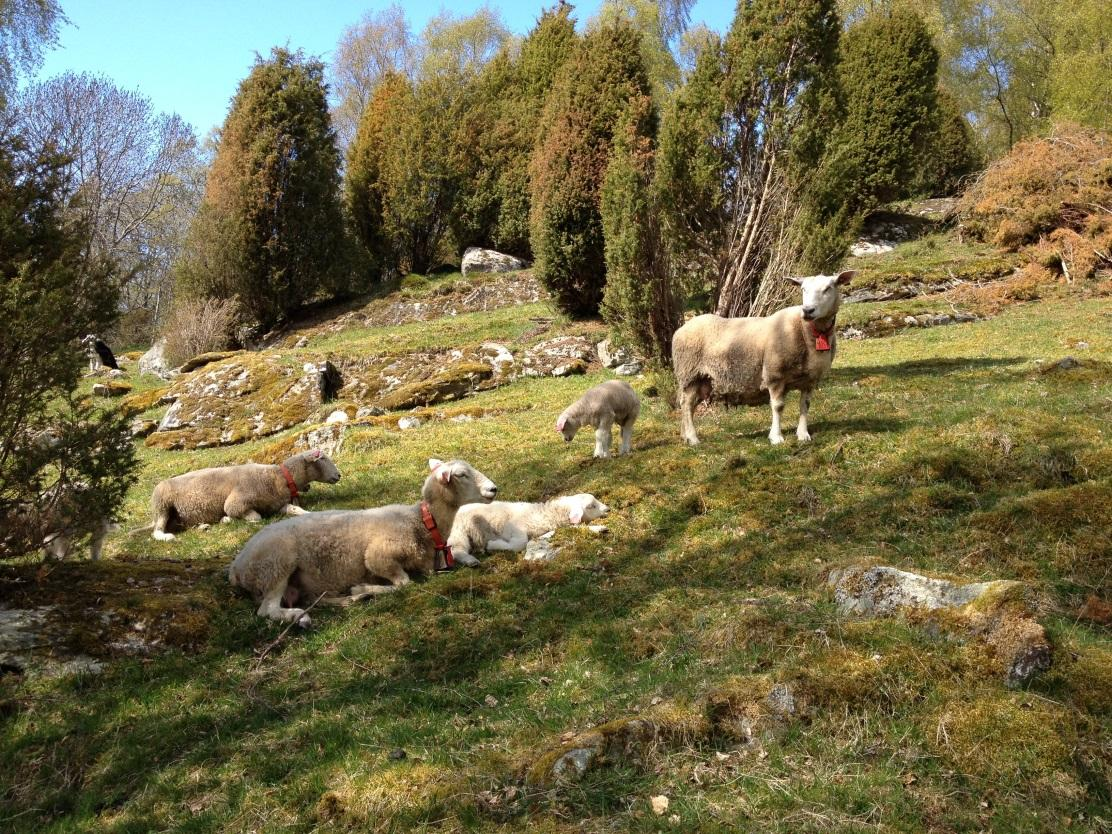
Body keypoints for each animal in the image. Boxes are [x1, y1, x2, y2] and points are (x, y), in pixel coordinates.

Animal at [447, 495, 613, 569]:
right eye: (591, 506)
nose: (608, 509)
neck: (545, 514)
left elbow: (576, 528)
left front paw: (599, 529)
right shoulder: (514, 527)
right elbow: (519, 543)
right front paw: (493, 545)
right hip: (458, 531)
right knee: (455, 550)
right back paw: (471, 560)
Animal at [667, 271, 858, 447]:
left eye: (828, 288)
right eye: (803, 289)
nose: (807, 310)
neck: (807, 332)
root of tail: (681, 329)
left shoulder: (810, 380)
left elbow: (805, 405)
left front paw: (803, 434)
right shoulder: (774, 375)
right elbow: (778, 406)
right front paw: (776, 437)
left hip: (703, 380)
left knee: (689, 406)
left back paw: (685, 436)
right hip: (690, 374)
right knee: (686, 404)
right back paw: (693, 438)